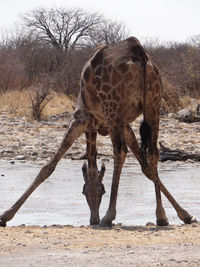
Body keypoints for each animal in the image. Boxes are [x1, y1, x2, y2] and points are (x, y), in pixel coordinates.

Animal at [0, 36, 197, 227]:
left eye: (92, 192)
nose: (93, 219)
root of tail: (139, 54)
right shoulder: (123, 125)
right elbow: (145, 166)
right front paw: (184, 215)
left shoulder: (82, 119)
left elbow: (49, 166)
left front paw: (6, 215)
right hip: (152, 105)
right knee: (153, 153)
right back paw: (161, 216)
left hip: (114, 107)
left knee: (120, 151)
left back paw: (108, 217)